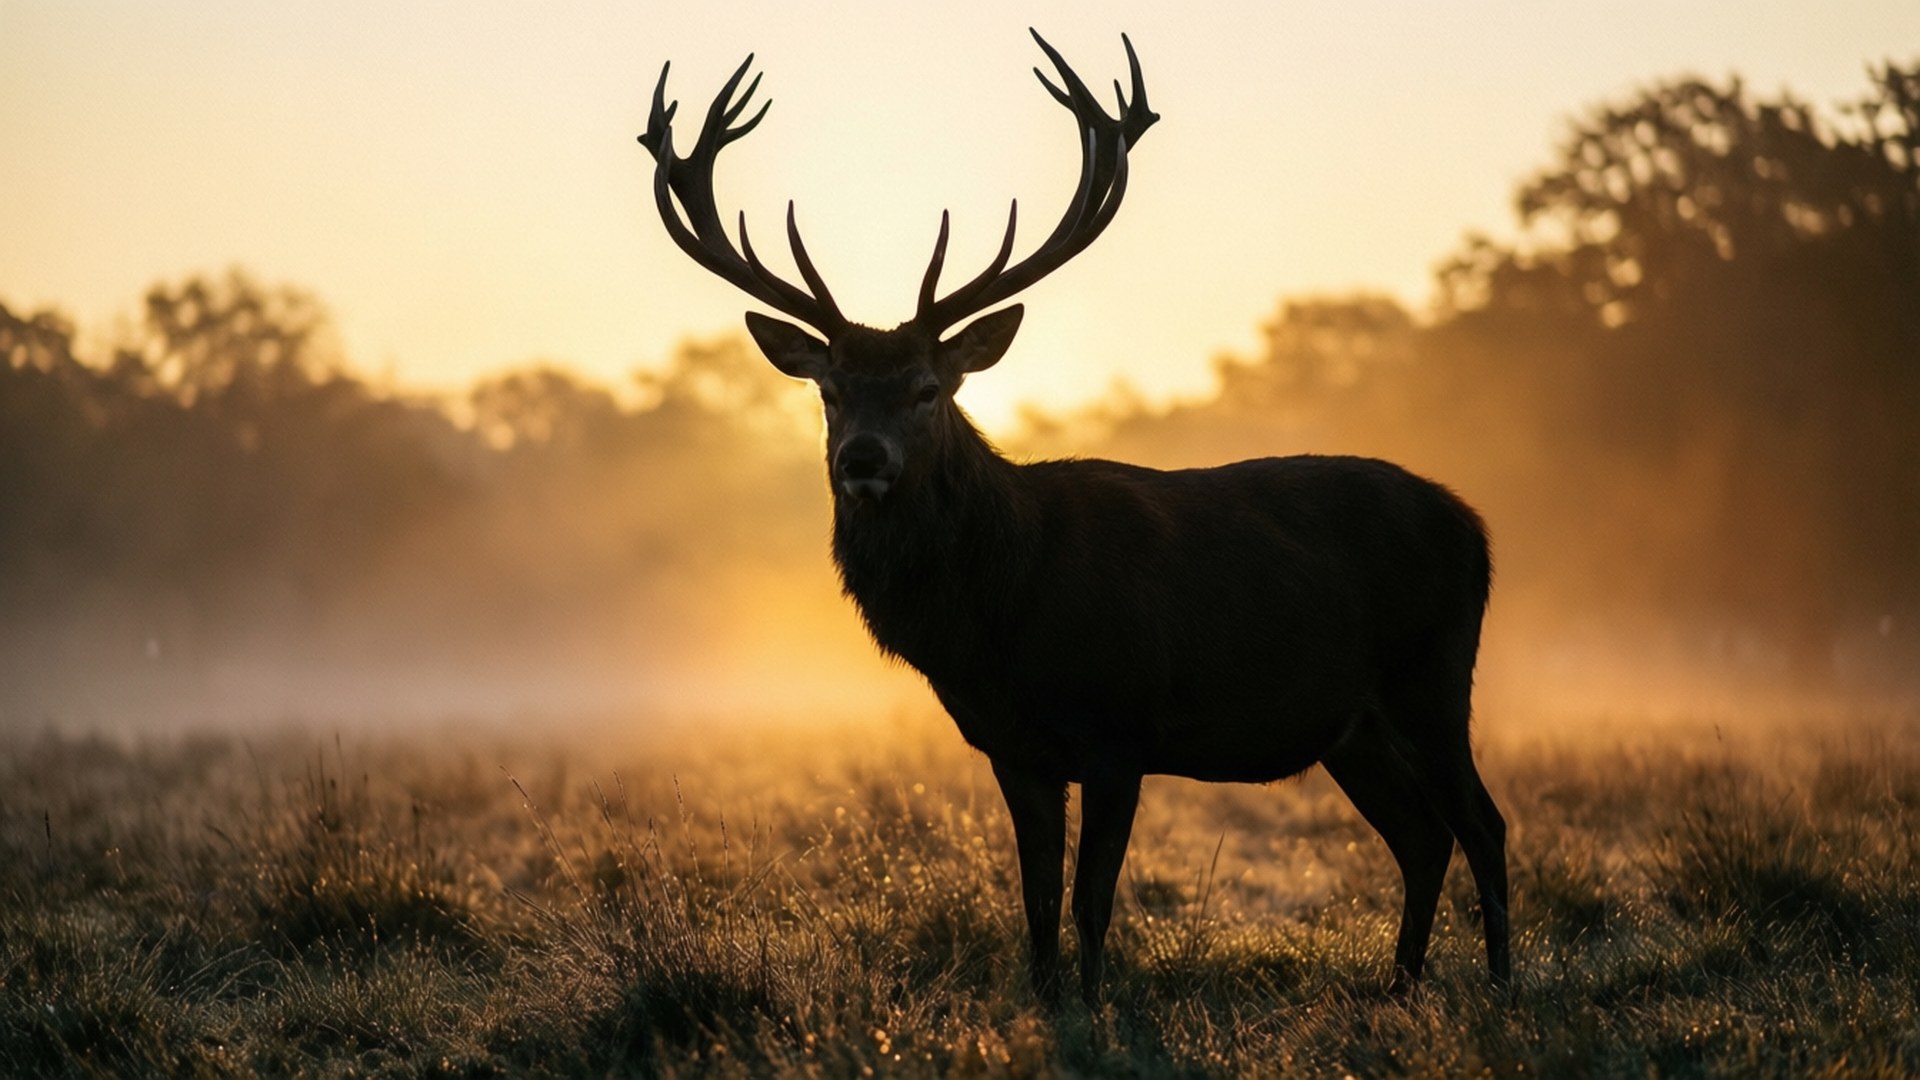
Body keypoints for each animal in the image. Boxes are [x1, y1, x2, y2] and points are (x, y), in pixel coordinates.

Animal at [638, 30, 1510, 1006]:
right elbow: (1036, 906)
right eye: (828, 390)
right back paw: (1400, 986)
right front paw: (1047, 1003)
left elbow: (1092, 902)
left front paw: (1094, 1010)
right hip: (1350, 724)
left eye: (928, 388)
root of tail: (1475, 529)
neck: (998, 616)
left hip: (1433, 674)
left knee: (1482, 824)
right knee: (1422, 835)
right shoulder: (1013, 749)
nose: (863, 459)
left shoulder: (1120, 730)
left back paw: (1503, 986)